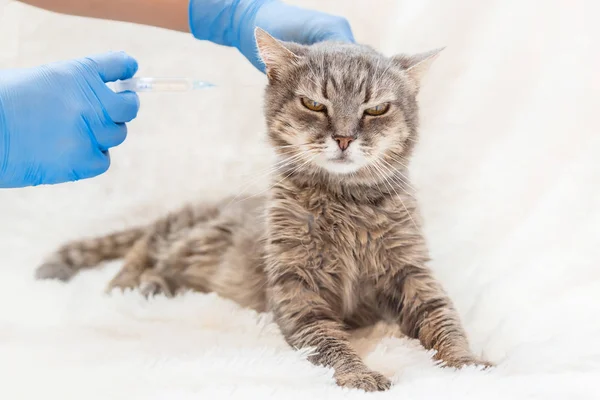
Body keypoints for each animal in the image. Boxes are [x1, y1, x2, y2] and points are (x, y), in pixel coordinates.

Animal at [38, 29, 496, 392]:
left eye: (377, 109)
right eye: (315, 105)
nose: (344, 138)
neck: (345, 203)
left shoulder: (412, 272)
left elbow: (443, 320)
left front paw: (467, 364)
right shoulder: (297, 287)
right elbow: (328, 342)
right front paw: (359, 374)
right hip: (178, 231)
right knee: (141, 250)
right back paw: (127, 287)